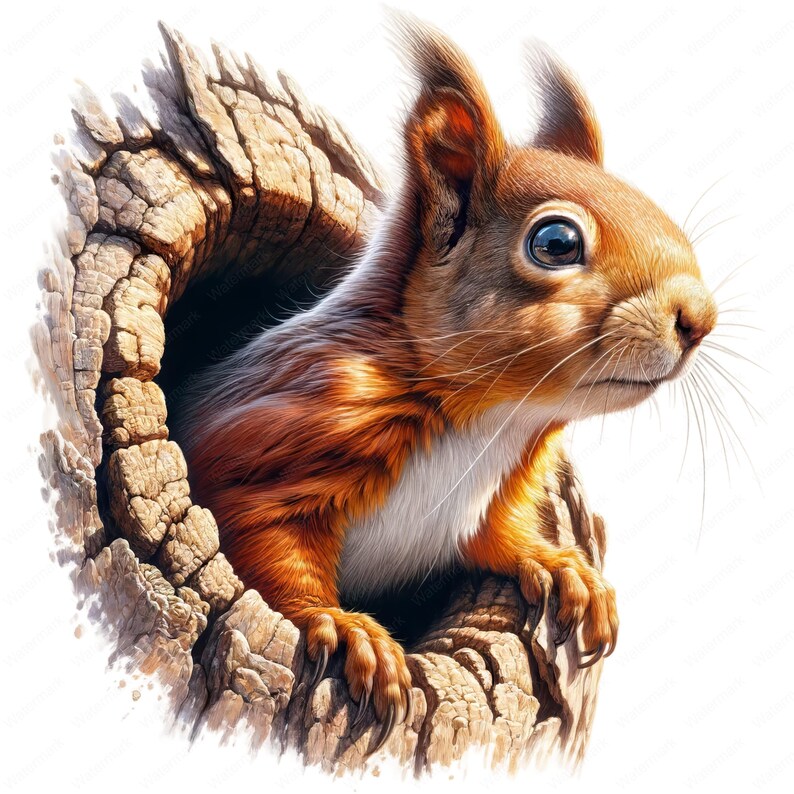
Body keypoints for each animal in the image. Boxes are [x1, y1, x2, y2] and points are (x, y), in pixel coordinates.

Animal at [178, 13, 717, 746]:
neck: (492, 421)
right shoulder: (281, 432)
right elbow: (262, 542)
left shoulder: (486, 501)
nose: (700, 318)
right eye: (556, 243)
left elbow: (493, 539)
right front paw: (344, 627)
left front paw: (560, 567)